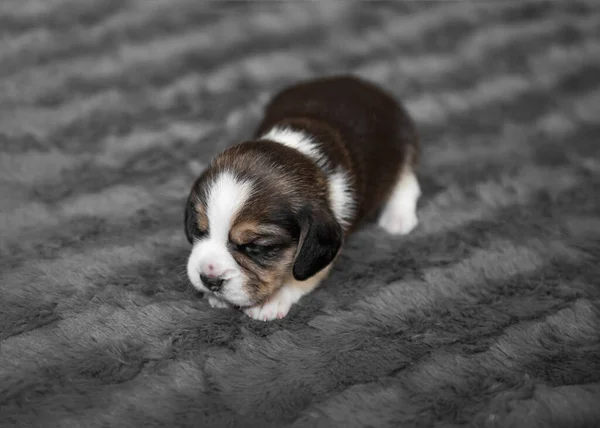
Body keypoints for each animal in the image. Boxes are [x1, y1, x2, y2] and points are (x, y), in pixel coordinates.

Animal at [185, 75, 420, 320]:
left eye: (256, 247)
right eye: (200, 230)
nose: (209, 279)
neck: (301, 153)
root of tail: (362, 83)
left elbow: (301, 275)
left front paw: (271, 301)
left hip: (403, 147)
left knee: (407, 182)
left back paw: (398, 217)